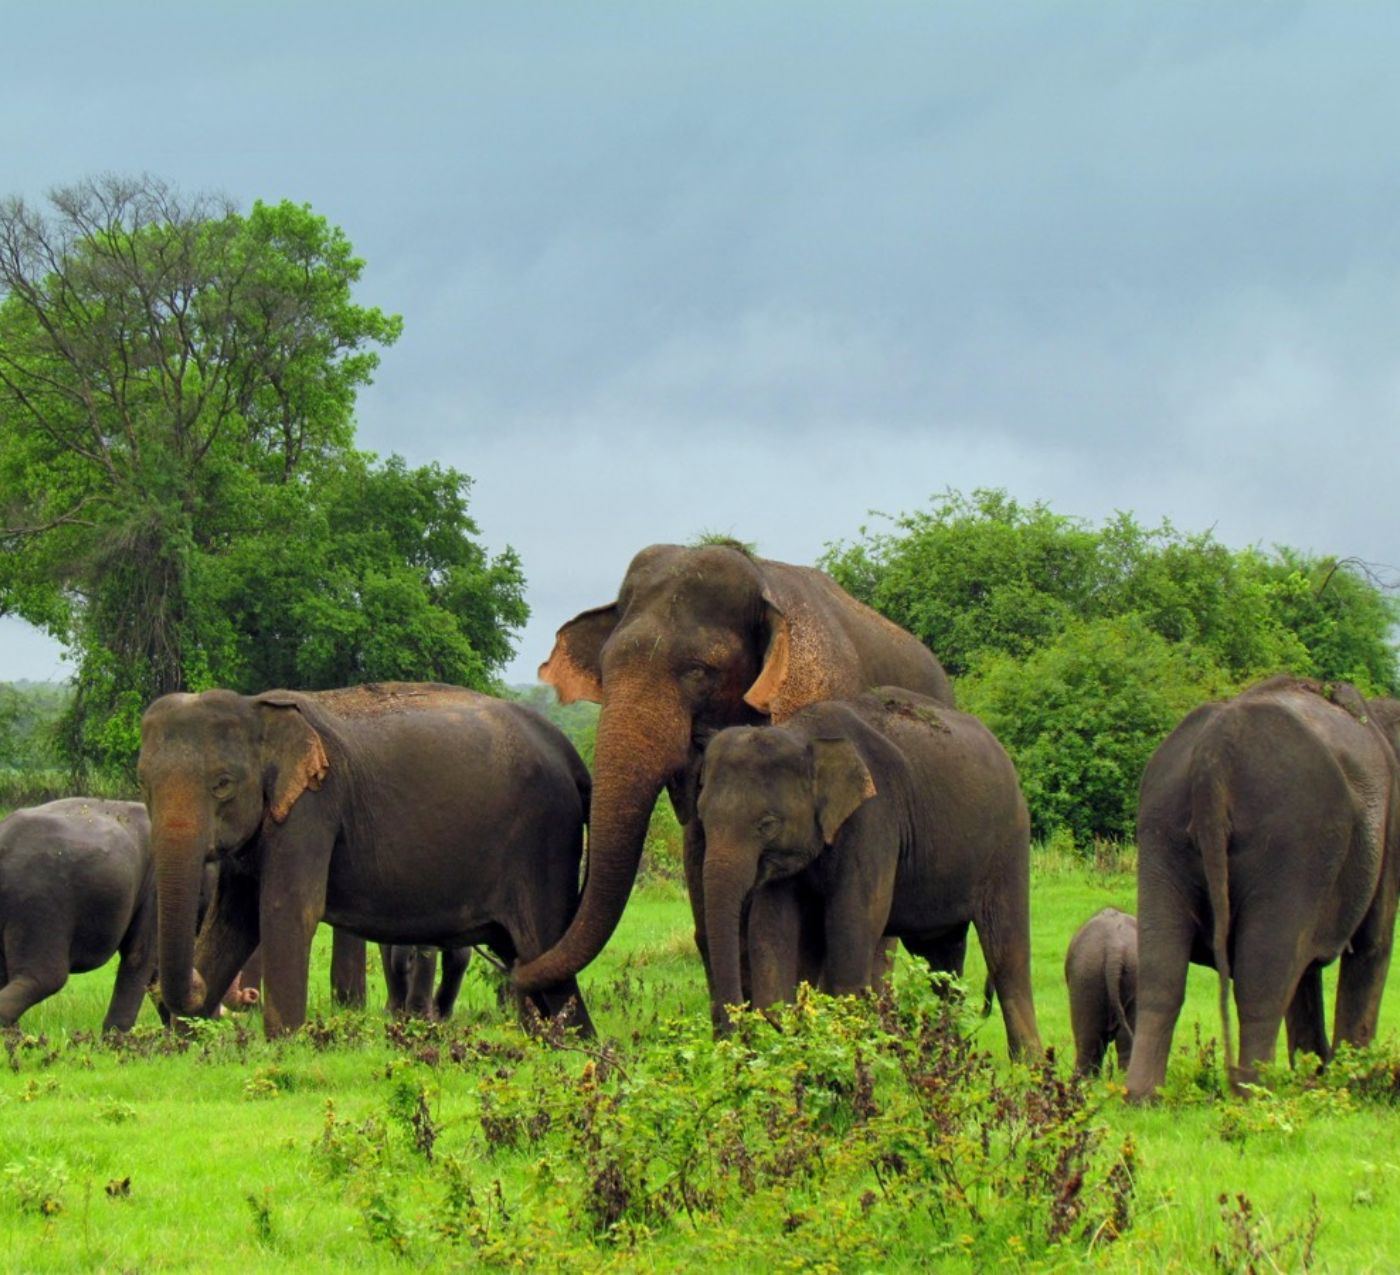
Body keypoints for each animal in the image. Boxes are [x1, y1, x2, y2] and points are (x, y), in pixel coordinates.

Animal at [138, 681, 594, 1038]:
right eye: (143, 783)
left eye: (223, 785)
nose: (197, 987)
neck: (256, 707)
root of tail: (569, 750)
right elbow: (234, 920)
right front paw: (185, 1042)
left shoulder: (314, 806)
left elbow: (288, 910)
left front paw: (284, 1045)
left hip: (543, 843)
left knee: (543, 945)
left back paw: (577, 1044)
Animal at [693, 689, 1042, 1059]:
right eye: (701, 816)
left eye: (767, 824)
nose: (734, 1042)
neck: (802, 733)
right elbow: (772, 929)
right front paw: (789, 1042)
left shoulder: (873, 819)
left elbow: (853, 923)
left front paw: (844, 1051)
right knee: (940, 958)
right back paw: (944, 1054)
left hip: (1009, 842)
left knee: (1007, 952)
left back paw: (1028, 1064)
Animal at [1125, 677, 1400, 1102]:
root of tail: (1213, 755)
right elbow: (1373, 945)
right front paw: (1349, 1084)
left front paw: (1316, 1076)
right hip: (1292, 838)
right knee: (1262, 976)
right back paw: (1255, 1093)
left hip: (1160, 827)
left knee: (1161, 971)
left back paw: (1143, 1097)